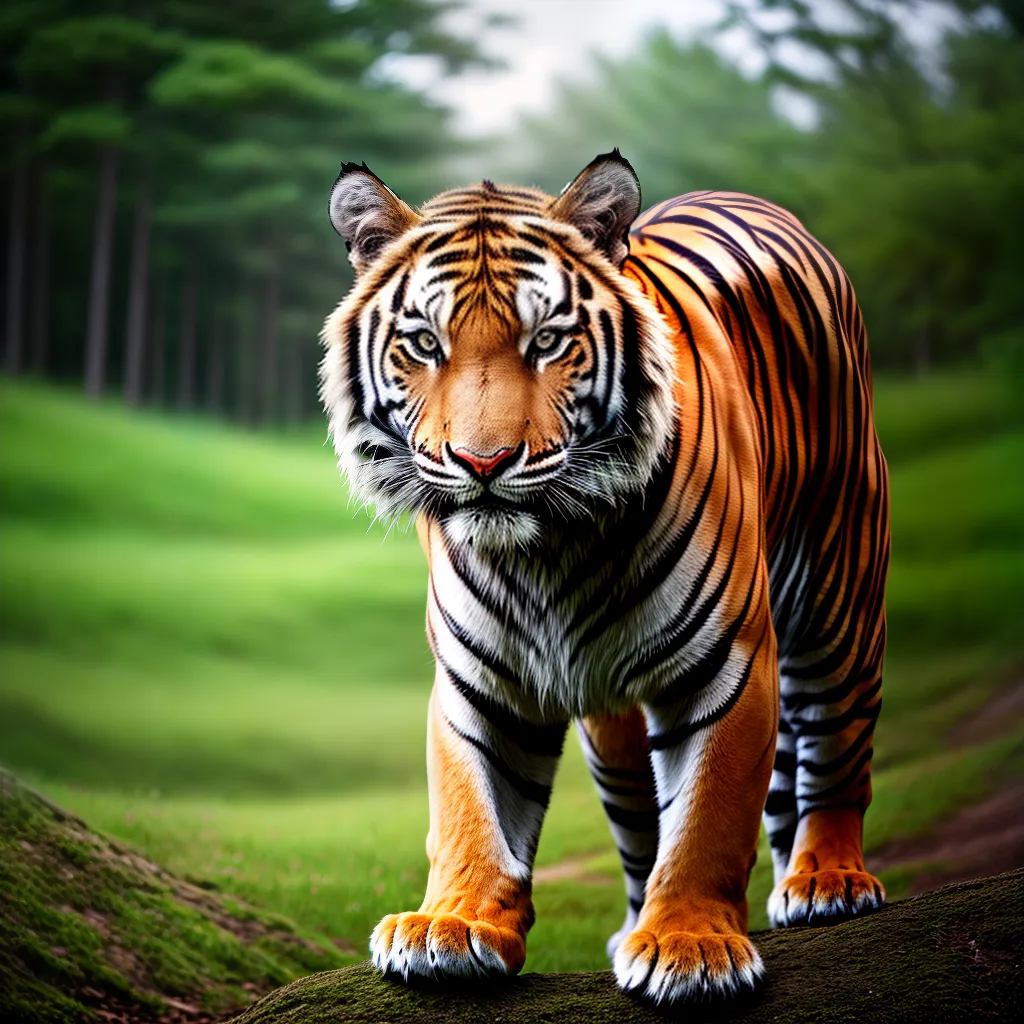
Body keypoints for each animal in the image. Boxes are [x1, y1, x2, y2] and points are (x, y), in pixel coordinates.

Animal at [320, 150, 889, 1005]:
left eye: (549, 340)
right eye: (423, 343)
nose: (483, 463)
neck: (546, 554)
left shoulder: (728, 665)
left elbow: (710, 814)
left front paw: (691, 945)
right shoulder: (478, 681)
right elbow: (470, 805)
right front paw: (451, 924)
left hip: (838, 585)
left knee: (833, 746)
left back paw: (827, 880)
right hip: (612, 729)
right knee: (640, 821)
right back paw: (632, 925)